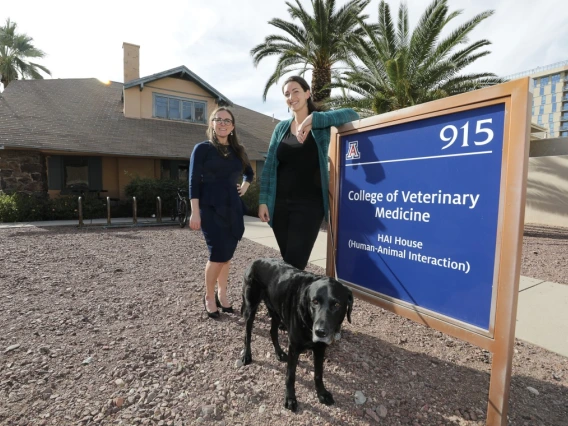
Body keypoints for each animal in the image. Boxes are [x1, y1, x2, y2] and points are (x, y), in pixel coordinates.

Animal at [241, 258, 356, 412]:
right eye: (315, 301)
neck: (308, 320)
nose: (320, 332)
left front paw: (322, 393)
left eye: (337, 305)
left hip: (276, 311)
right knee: (247, 334)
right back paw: (247, 355)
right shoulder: (294, 348)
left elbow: (318, 374)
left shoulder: (320, 349)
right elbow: (290, 375)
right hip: (251, 308)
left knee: (272, 332)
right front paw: (290, 398)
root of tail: (256, 260)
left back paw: (279, 353)